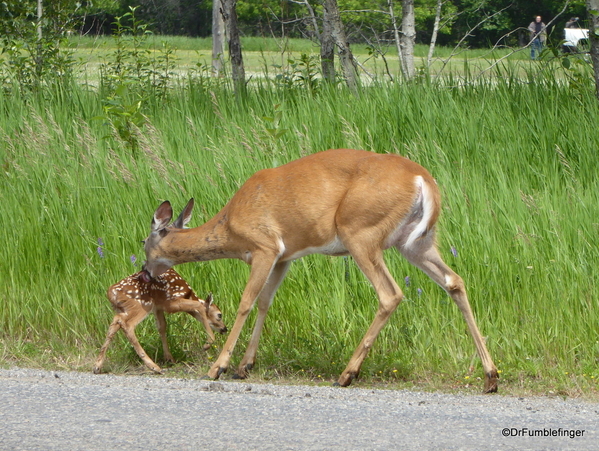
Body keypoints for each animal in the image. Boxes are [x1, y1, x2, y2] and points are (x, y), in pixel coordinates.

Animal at [94, 268, 227, 374]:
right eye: (219, 315)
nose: (224, 328)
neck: (188, 294)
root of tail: (110, 292)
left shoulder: (158, 307)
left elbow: (162, 327)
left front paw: (169, 358)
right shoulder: (171, 302)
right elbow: (199, 306)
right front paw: (207, 344)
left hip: (124, 308)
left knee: (116, 321)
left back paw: (97, 366)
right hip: (142, 305)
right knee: (127, 324)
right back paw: (154, 367)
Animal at [143, 148, 500, 392]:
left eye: (144, 243)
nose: (146, 272)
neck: (230, 226)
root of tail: (423, 180)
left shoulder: (264, 247)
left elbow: (246, 302)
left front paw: (218, 366)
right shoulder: (284, 257)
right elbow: (265, 303)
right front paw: (245, 365)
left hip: (360, 231)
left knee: (391, 294)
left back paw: (347, 373)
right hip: (416, 242)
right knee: (454, 281)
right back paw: (491, 376)